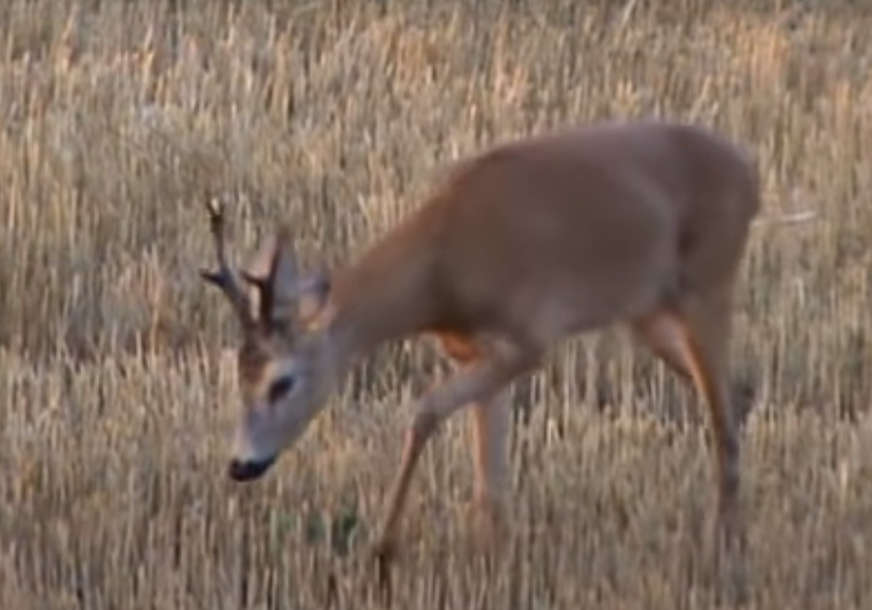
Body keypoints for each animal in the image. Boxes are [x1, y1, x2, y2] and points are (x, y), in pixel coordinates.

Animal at [201, 119, 760, 564]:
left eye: (282, 382)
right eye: (238, 376)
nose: (240, 465)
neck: (441, 271)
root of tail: (750, 173)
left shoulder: (527, 342)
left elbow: (424, 412)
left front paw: (383, 547)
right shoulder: (478, 353)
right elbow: (489, 482)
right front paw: (489, 553)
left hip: (708, 287)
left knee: (722, 418)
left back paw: (724, 549)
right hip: (649, 313)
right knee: (736, 394)